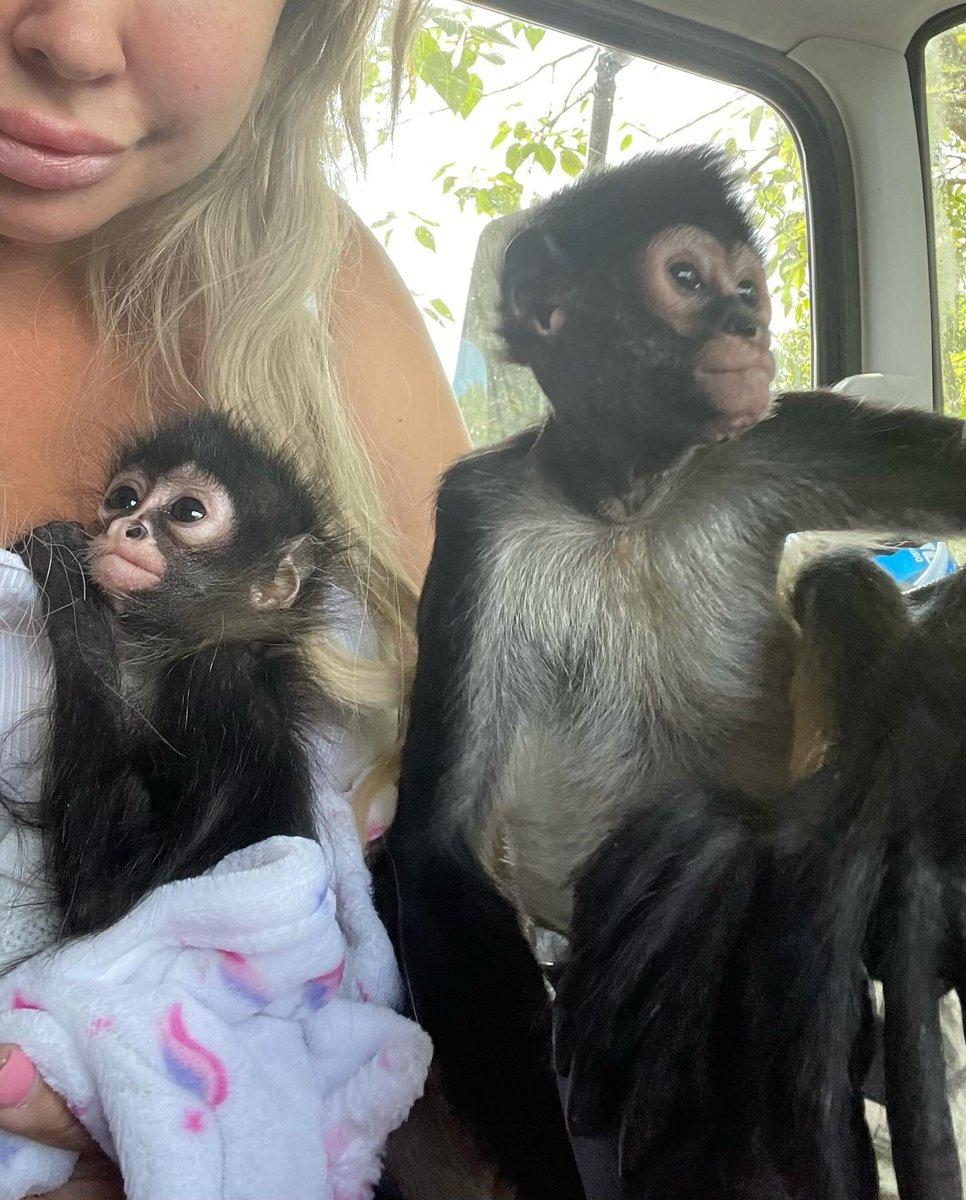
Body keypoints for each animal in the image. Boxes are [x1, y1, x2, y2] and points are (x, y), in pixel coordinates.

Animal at [11, 411, 348, 936]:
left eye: (187, 511)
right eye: (124, 499)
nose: (128, 527)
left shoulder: (215, 678)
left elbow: (103, 900)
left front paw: (63, 566)